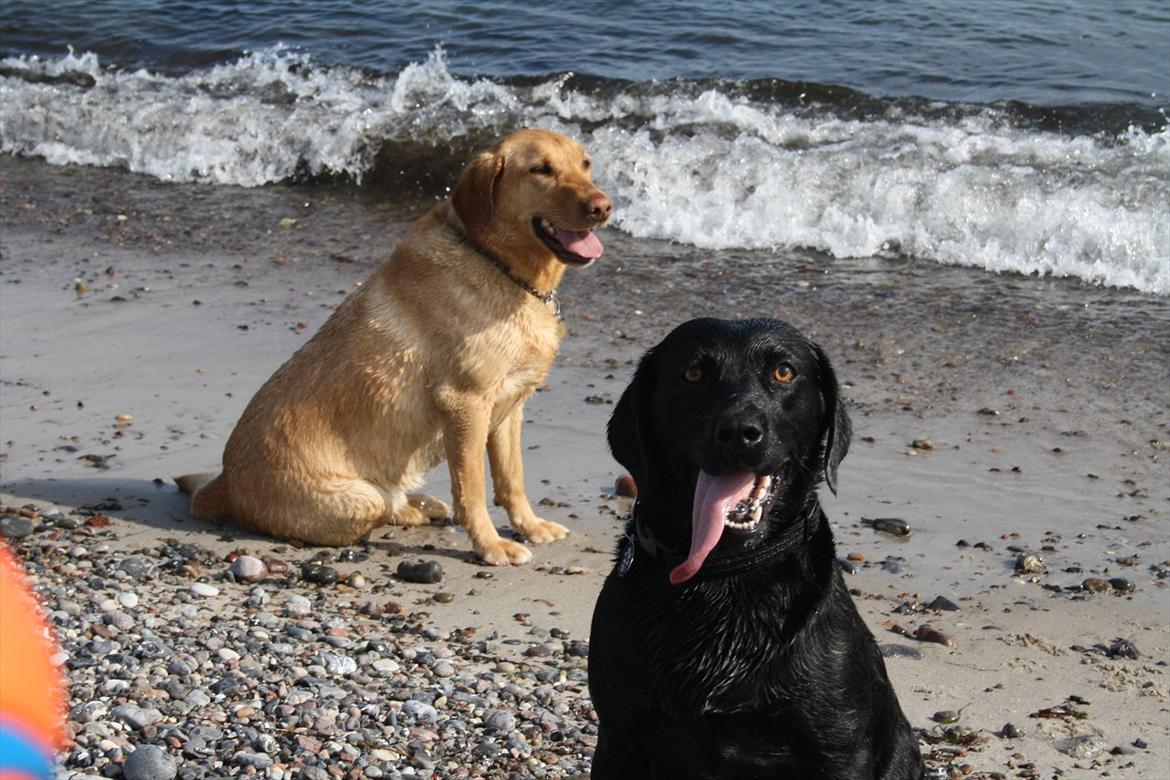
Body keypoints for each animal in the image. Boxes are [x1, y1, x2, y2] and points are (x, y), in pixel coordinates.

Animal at [589, 318, 926, 780]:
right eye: (693, 373)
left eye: (784, 372)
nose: (739, 433)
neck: (723, 574)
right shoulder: (618, 738)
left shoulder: (841, 750)